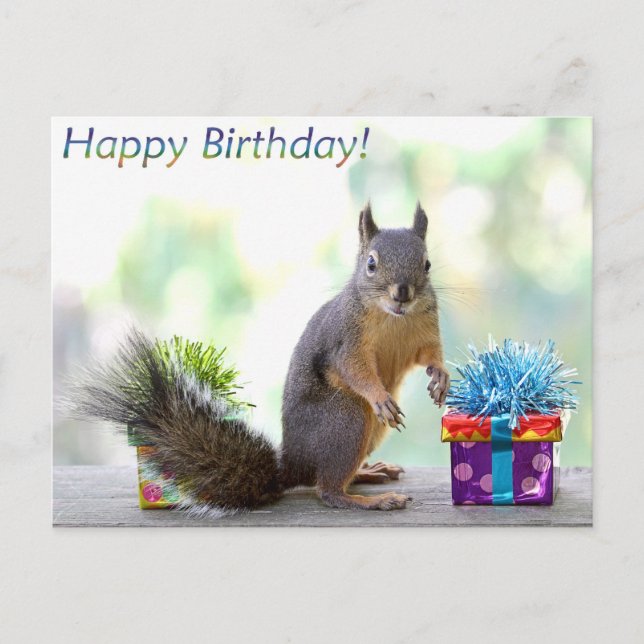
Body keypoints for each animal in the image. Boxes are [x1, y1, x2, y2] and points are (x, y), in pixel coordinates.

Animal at [68, 202, 449, 513]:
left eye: (427, 264)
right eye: (371, 263)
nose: (402, 293)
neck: (393, 318)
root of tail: (292, 464)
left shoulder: (425, 330)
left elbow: (430, 355)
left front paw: (441, 377)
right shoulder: (346, 339)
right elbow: (354, 369)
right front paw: (379, 396)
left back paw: (369, 472)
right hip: (347, 418)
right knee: (327, 491)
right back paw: (370, 499)